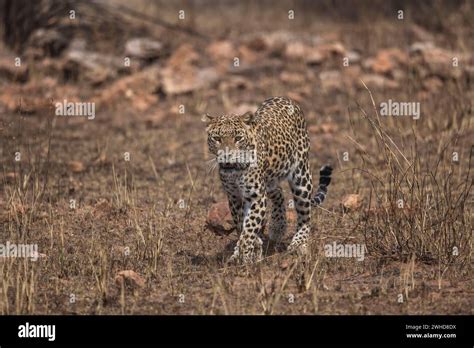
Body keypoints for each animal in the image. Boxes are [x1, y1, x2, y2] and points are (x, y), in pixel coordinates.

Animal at [205, 96, 334, 262]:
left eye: (238, 138)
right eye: (217, 138)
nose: (226, 155)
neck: (235, 171)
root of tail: (285, 99)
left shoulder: (256, 196)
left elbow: (249, 228)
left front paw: (246, 253)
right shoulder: (233, 197)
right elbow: (241, 226)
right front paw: (248, 250)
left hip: (301, 176)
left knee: (304, 213)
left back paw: (298, 243)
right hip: (270, 180)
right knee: (278, 193)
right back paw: (278, 227)